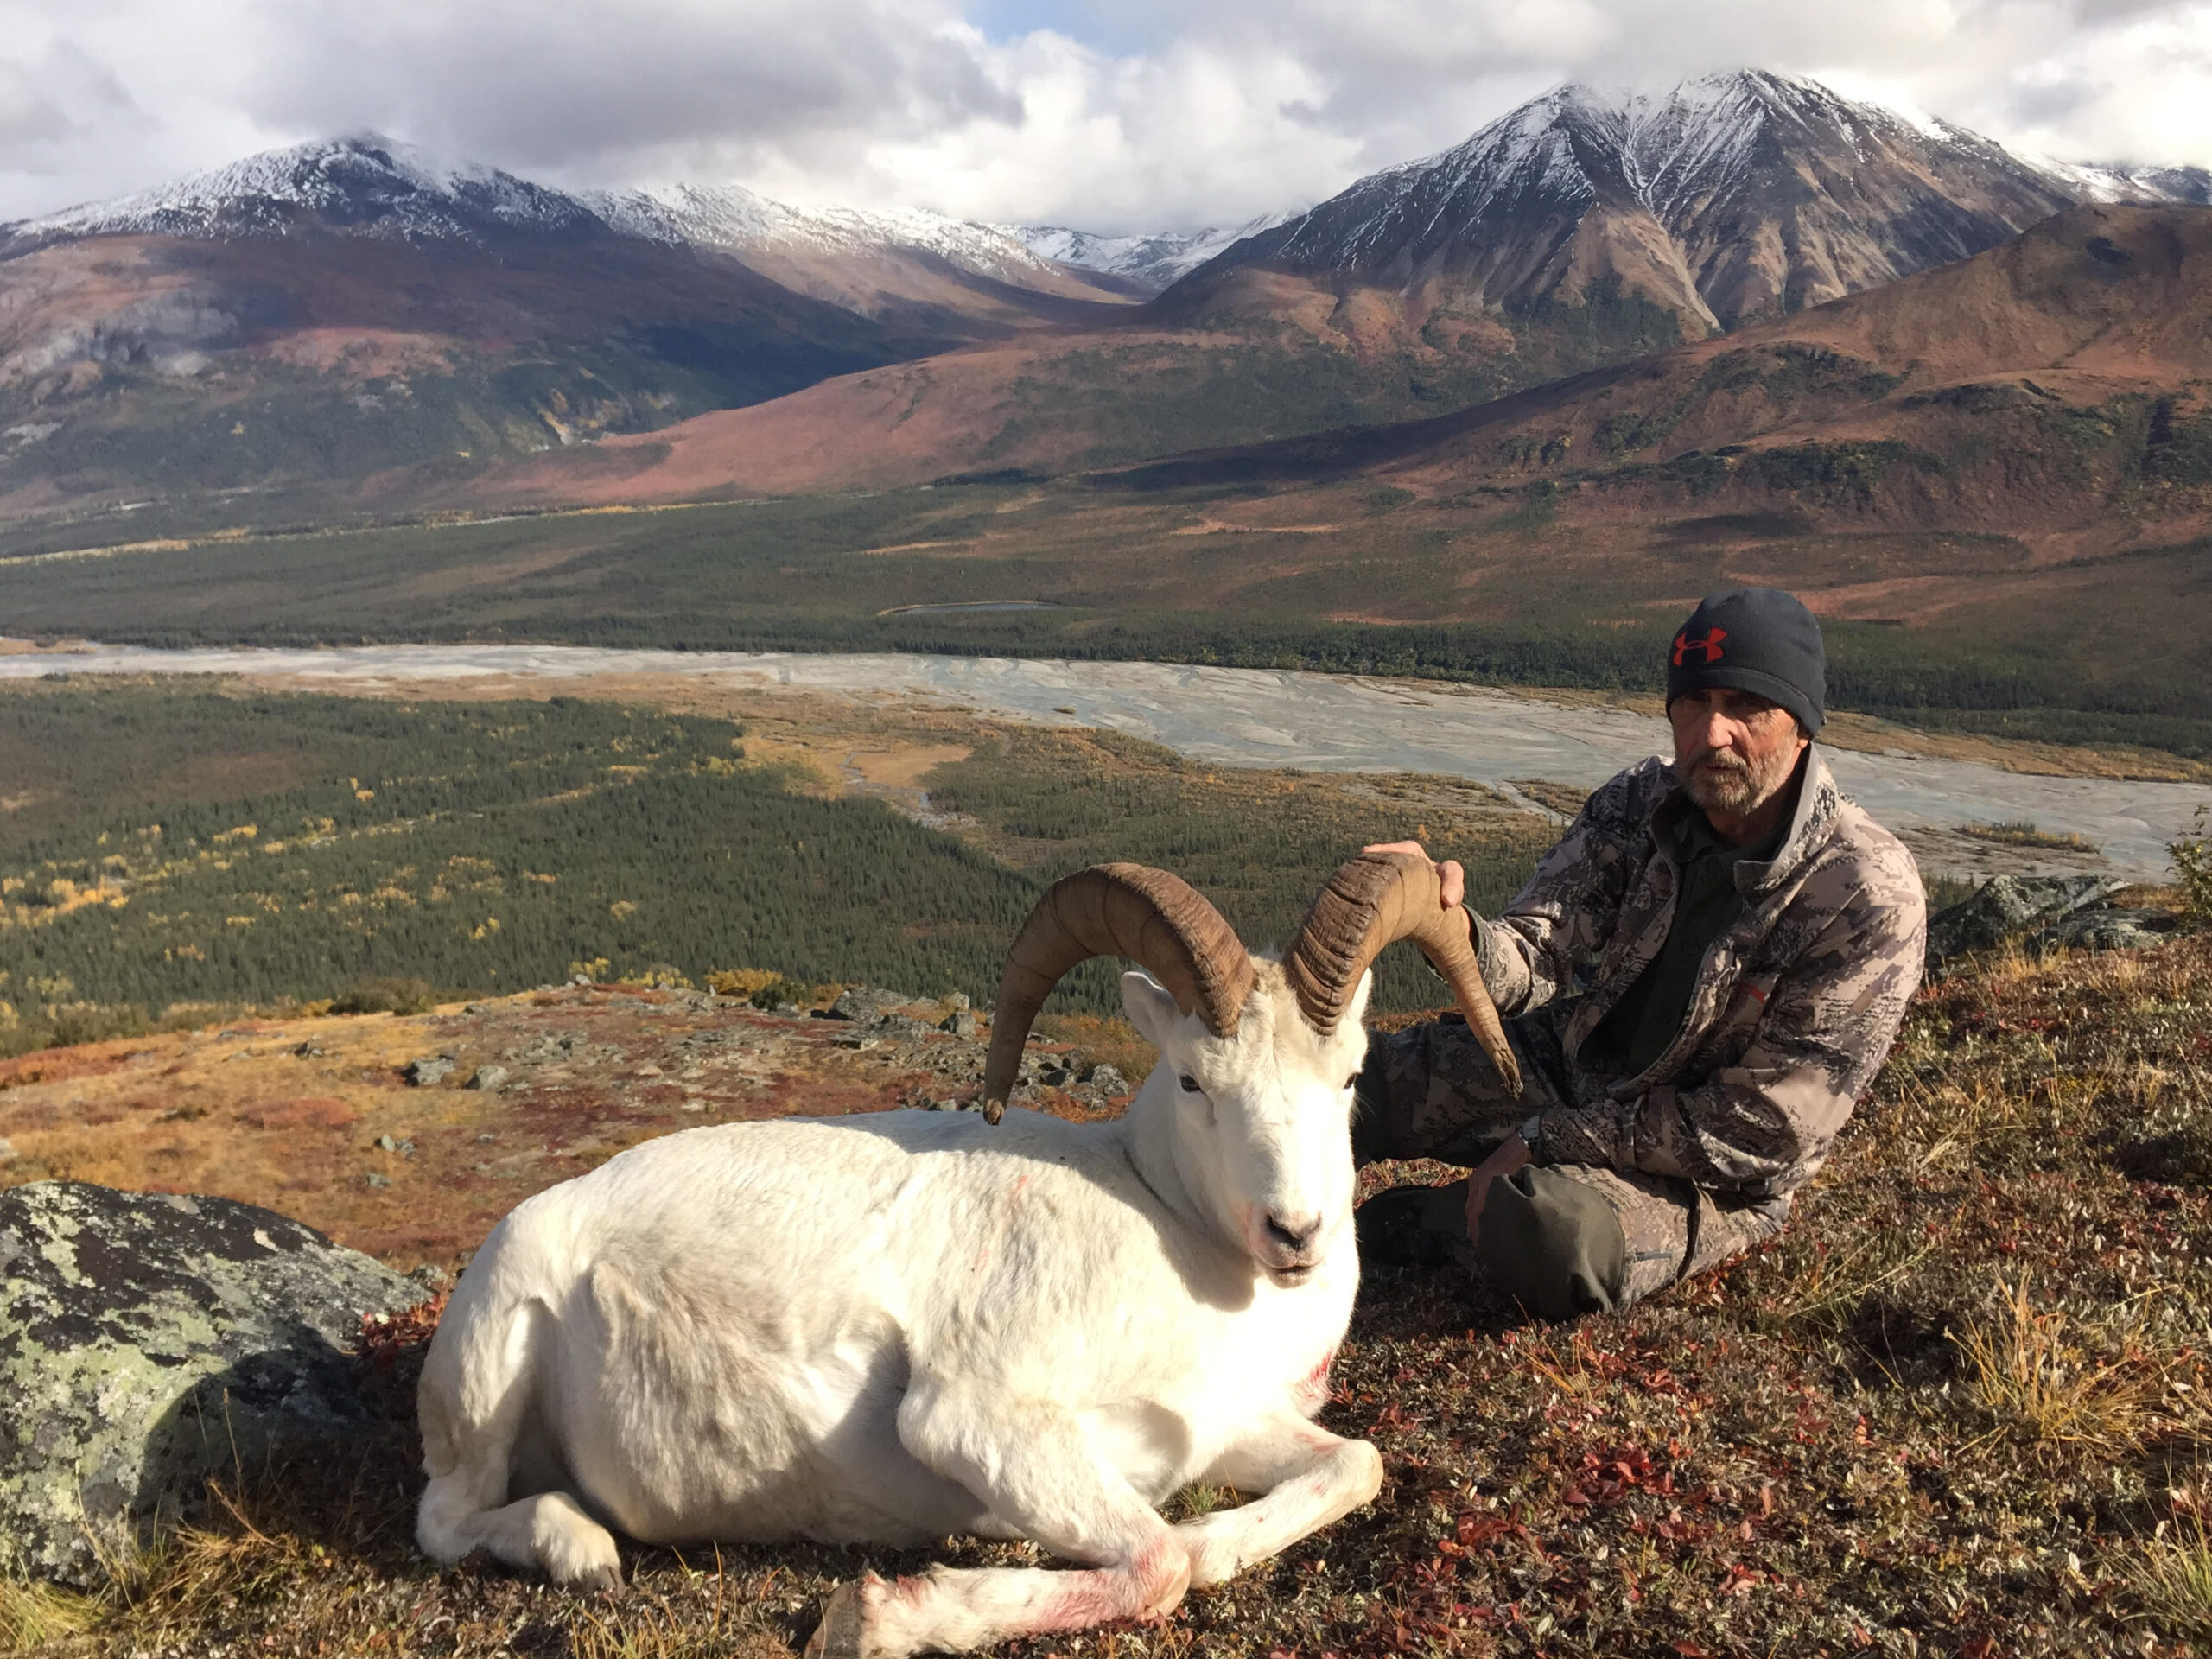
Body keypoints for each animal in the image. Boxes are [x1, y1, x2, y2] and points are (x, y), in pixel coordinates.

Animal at [413, 851, 1519, 1657]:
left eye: (1350, 1075)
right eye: (1194, 1081)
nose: (1295, 1235)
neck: (1171, 1239)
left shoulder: (1230, 1427)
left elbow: (1351, 1468)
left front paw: (1215, 1543)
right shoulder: (971, 1419)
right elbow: (1157, 1564)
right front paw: (878, 1620)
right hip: (491, 1367)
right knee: (445, 1520)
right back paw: (583, 1550)